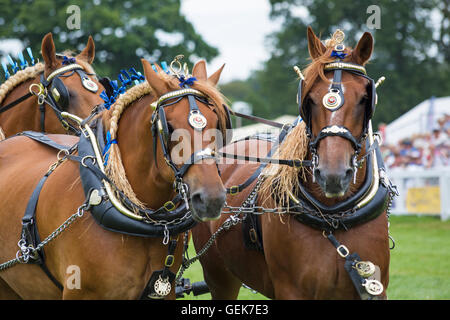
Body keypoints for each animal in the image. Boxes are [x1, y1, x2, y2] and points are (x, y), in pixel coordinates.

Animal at [193, 27, 398, 300]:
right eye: (309, 98)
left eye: (366, 98)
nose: (333, 175)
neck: (333, 218)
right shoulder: (291, 290)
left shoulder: (373, 287)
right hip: (219, 277)